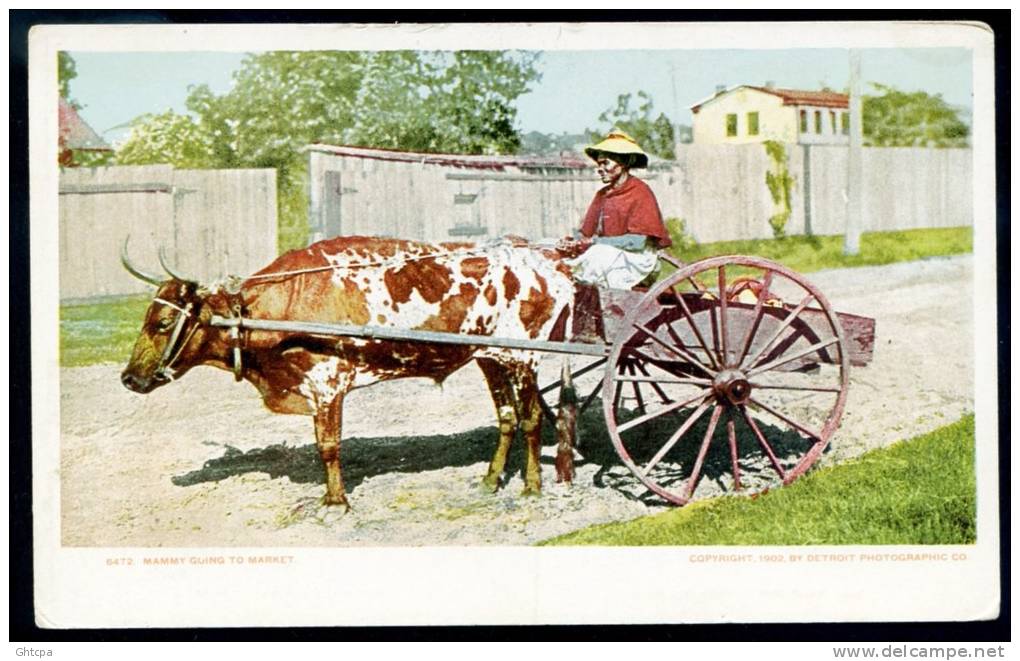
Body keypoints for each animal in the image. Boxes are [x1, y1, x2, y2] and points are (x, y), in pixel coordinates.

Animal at [121, 234, 575, 507]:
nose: (128, 378)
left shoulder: (327, 385)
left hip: (525, 358)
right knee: (508, 418)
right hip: (489, 357)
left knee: (532, 419)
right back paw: (490, 480)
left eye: (163, 323)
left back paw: (533, 485)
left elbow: (329, 446)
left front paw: (336, 501)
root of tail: (548, 263)